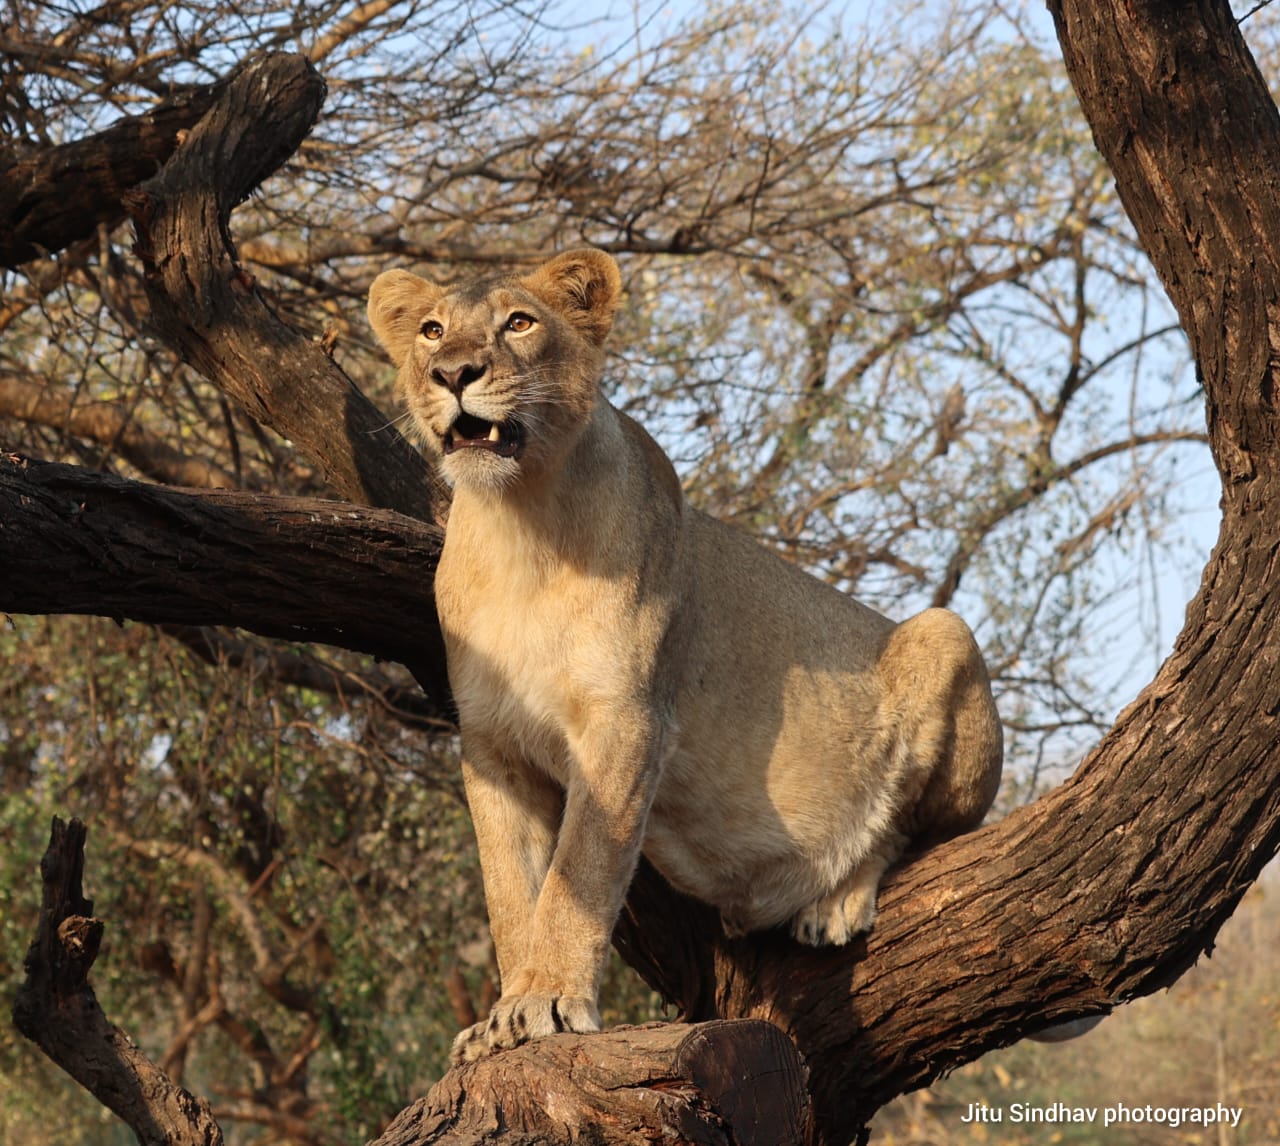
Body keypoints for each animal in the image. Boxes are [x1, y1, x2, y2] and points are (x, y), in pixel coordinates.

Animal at [367, 249, 1003, 1063]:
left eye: (519, 322)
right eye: (430, 330)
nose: (453, 372)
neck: (519, 530)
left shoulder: (627, 720)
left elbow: (580, 872)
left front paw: (549, 1000)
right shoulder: (490, 743)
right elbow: (510, 892)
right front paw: (502, 1017)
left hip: (944, 633)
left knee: (915, 834)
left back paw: (838, 897)